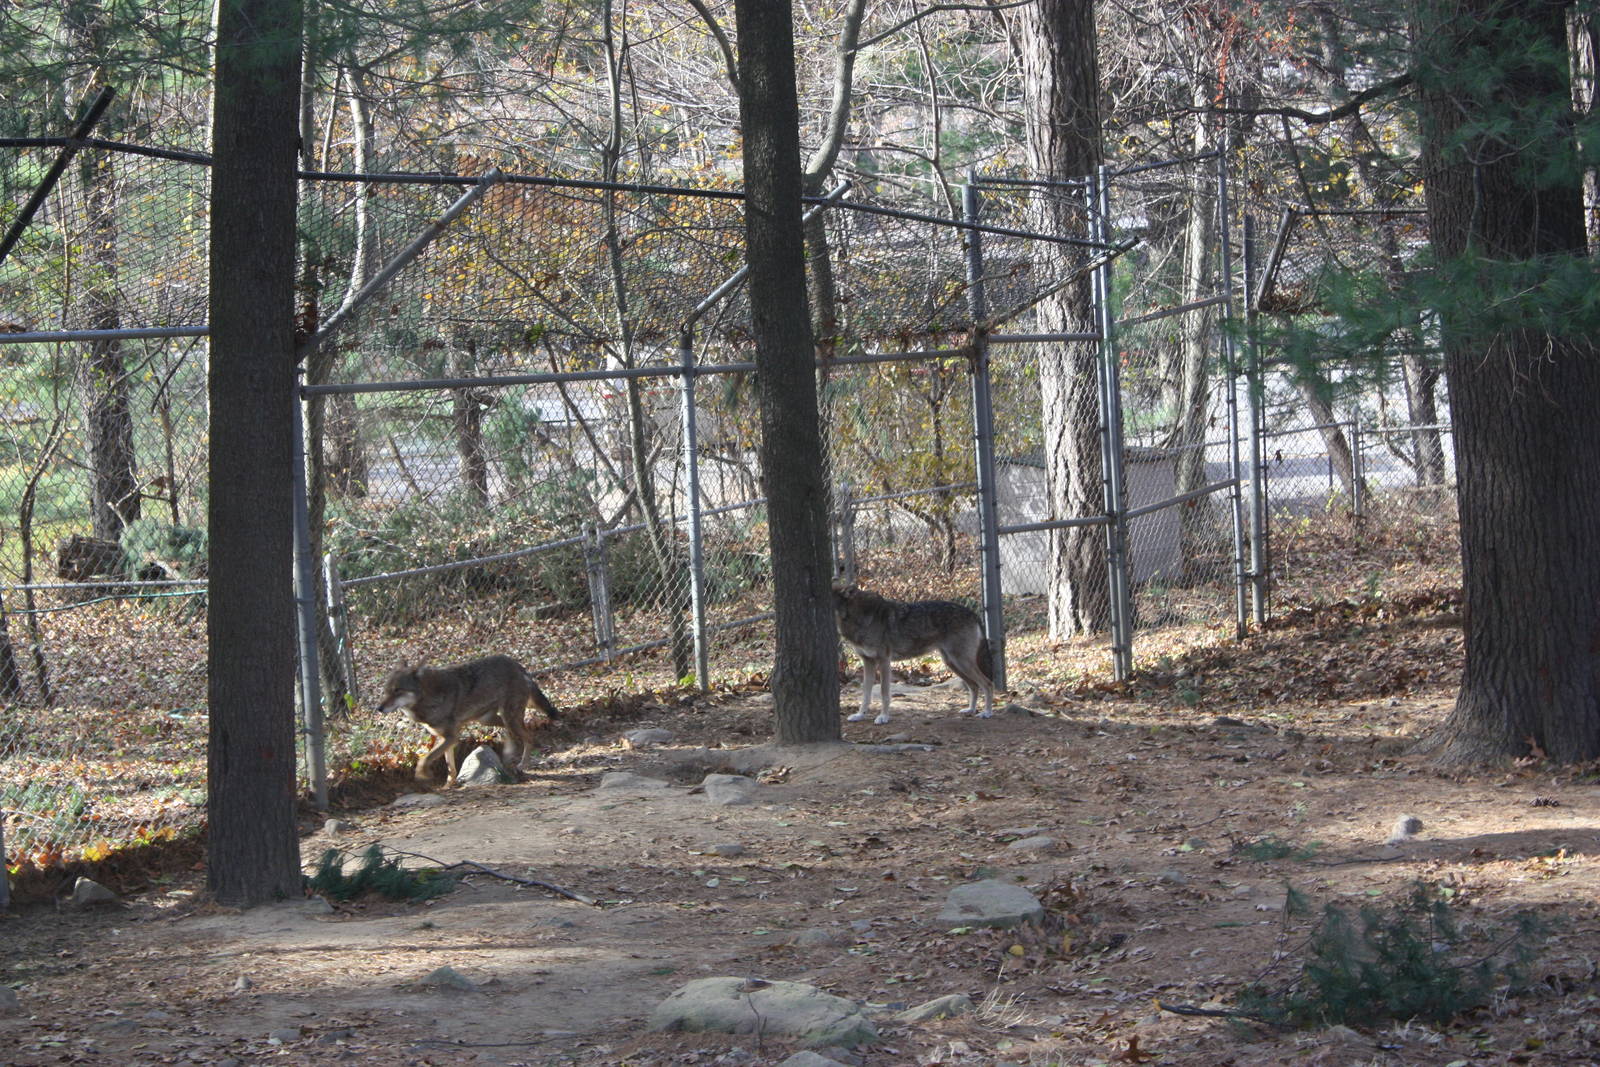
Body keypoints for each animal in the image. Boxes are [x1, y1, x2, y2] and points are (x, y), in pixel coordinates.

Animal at [378, 654, 561, 787]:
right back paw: (509, 753)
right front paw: (448, 785)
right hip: (489, 720)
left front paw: (423, 774)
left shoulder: (452, 737)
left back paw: (522, 765)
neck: (428, 697)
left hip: (509, 718)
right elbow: (450, 767)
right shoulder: (444, 738)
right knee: (510, 733)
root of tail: (517, 665)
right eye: (386, 691)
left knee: (529, 737)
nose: (378, 708)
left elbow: (425, 759)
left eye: (397, 690)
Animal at [832, 585, 994, 725]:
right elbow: (866, 693)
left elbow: (884, 693)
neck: (861, 617)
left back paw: (987, 713)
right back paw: (971, 710)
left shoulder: (884, 661)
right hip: (952, 663)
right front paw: (860, 715)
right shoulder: (868, 662)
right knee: (974, 686)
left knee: (987, 683)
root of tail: (972, 613)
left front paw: (883, 717)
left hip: (961, 662)